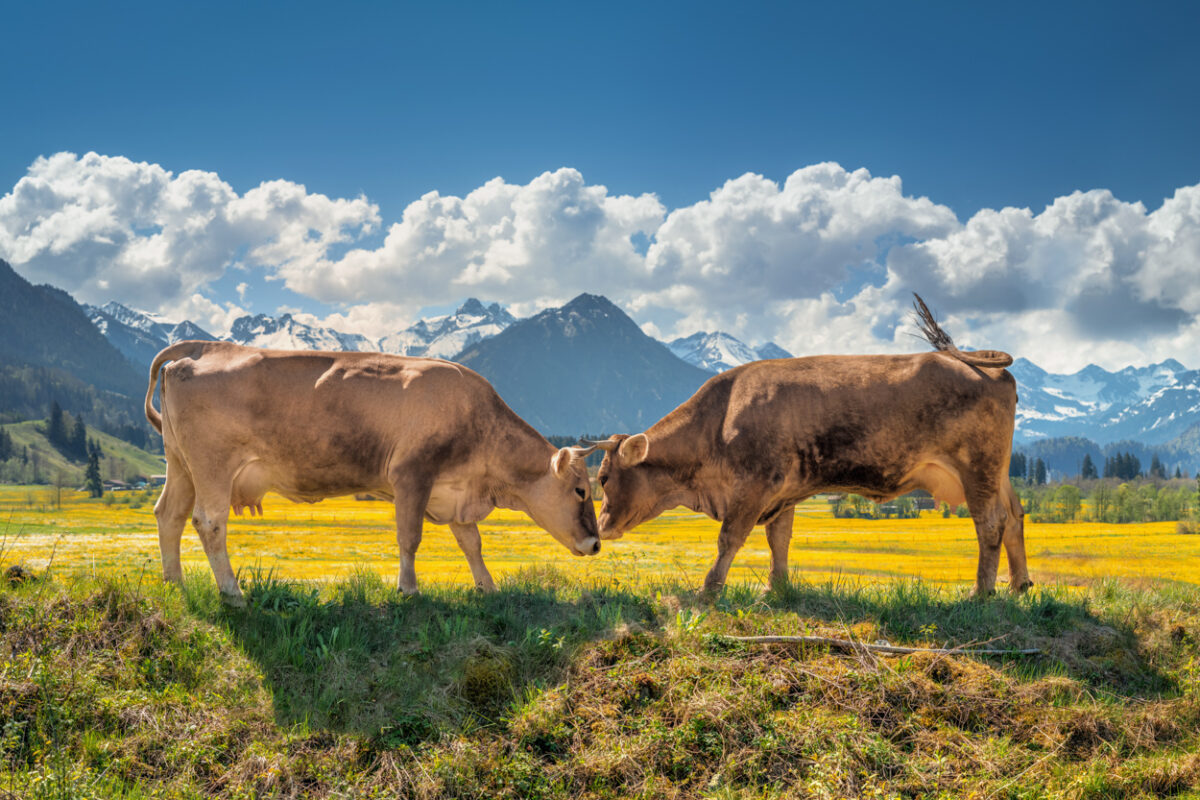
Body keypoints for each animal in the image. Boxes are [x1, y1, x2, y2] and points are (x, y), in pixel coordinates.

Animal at [144, 341, 600, 605]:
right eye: (581, 490)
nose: (595, 544)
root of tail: (202, 349)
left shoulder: (455, 494)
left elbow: (472, 543)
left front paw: (487, 588)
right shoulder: (412, 475)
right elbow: (410, 538)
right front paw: (409, 589)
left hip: (180, 464)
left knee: (169, 515)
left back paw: (174, 584)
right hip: (213, 465)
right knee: (209, 521)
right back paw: (232, 592)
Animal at [583, 295, 1029, 598]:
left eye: (602, 478)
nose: (601, 528)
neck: (720, 418)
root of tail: (978, 363)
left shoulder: (753, 488)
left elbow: (729, 538)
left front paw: (709, 590)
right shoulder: (782, 493)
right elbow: (778, 539)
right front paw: (775, 589)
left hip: (978, 469)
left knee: (991, 523)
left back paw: (981, 592)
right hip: (999, 472)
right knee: (1015, 516)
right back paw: (1018, 585)